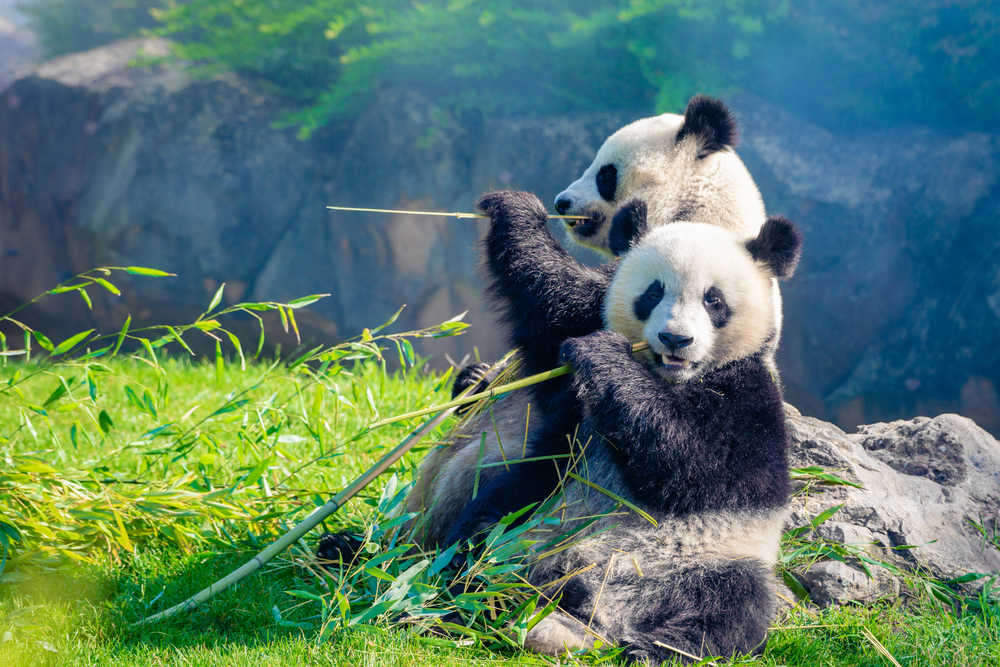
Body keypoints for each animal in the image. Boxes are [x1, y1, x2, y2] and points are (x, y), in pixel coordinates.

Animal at [435, 192, 802, 662]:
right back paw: (466, 596)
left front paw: (605, 357)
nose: (675, 339)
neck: (670, 378)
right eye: (654, 292)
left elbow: (700, 463)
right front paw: (515, 211)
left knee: (732, 605)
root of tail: (595, 612)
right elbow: (553, 305)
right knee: (482, 531)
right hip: (535, 509)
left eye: (713, 300)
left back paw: (653, 648)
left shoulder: (751, 399)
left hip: (711, 557)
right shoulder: (577, 358)